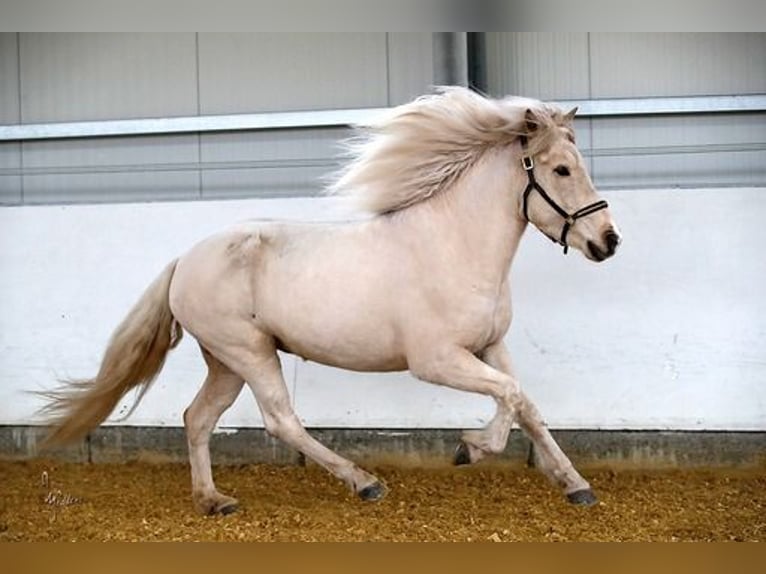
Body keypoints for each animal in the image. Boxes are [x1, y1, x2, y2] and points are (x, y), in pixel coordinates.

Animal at [41, 86, 622, 515]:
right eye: (562, 169)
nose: (608, 240)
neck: (453, 245)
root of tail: (184, 261)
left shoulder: (490, 346)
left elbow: (526, 404)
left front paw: (576, 485)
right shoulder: (436, 360)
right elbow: (510, 397)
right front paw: (469, 448)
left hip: (225, 361)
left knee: (197, 418)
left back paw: (214, 500)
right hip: (250, 351)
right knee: (281, 419)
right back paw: (364, 482)